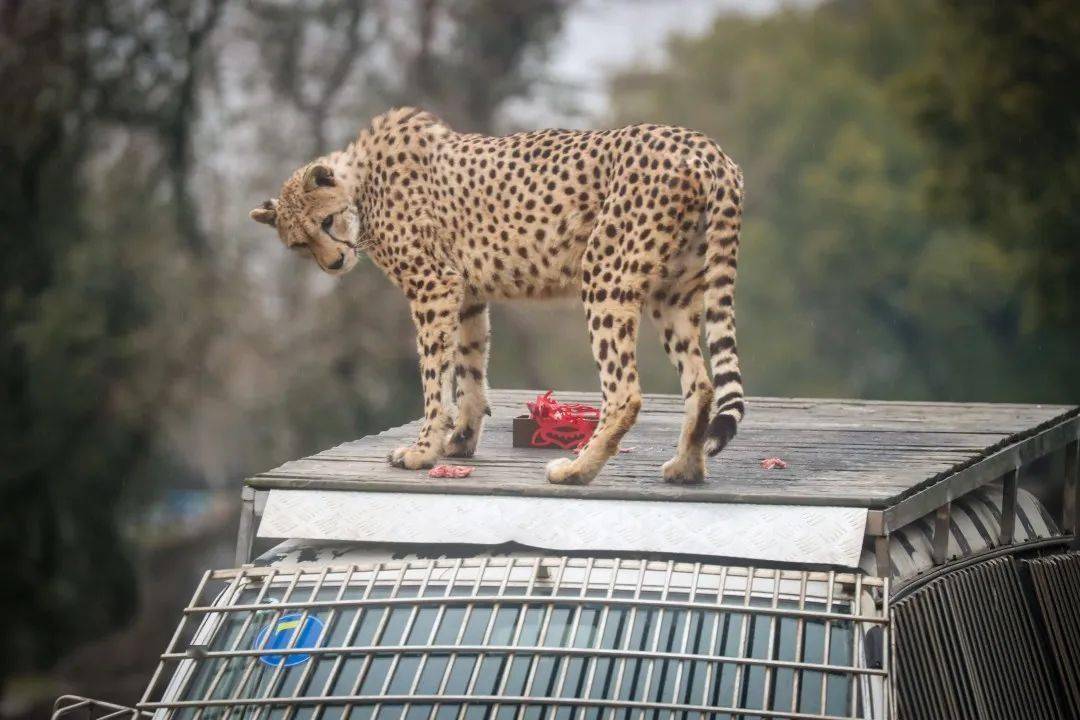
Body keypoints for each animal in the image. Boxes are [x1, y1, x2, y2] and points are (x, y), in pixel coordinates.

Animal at [251, 106, 743, 487]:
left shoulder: (433, 287)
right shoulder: (466, 293)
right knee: (701, 384)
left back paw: (576, 471)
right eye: (300, 243)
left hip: (605, 274)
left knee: (625, 393)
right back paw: (686, 467)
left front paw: (422, 450)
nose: (334, 263)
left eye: (327, 222)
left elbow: (434, 377)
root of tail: (703, 146)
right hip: (673, 292)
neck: (361, 183)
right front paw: (459, 441)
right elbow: (469, 370)